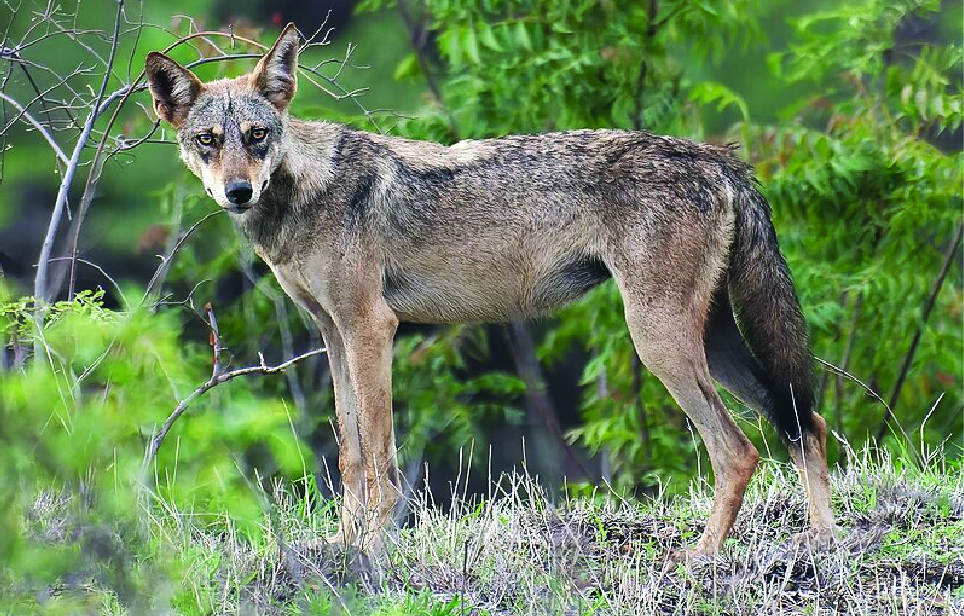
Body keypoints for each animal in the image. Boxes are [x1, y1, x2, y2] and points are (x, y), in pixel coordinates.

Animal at [143, 24, 836, 560]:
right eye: (209, 141)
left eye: (257, 136)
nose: (238, 191)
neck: (305, 194)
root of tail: (717, 157)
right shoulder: (333, 336)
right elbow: (348, 455)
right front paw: (345, 546)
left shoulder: (371, 328)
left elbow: (380, 460)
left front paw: (376, 553)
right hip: (708, 339)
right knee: (804, 421)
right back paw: (825, 548)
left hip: (659, 342)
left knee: (740, 449)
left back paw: (701, 558)